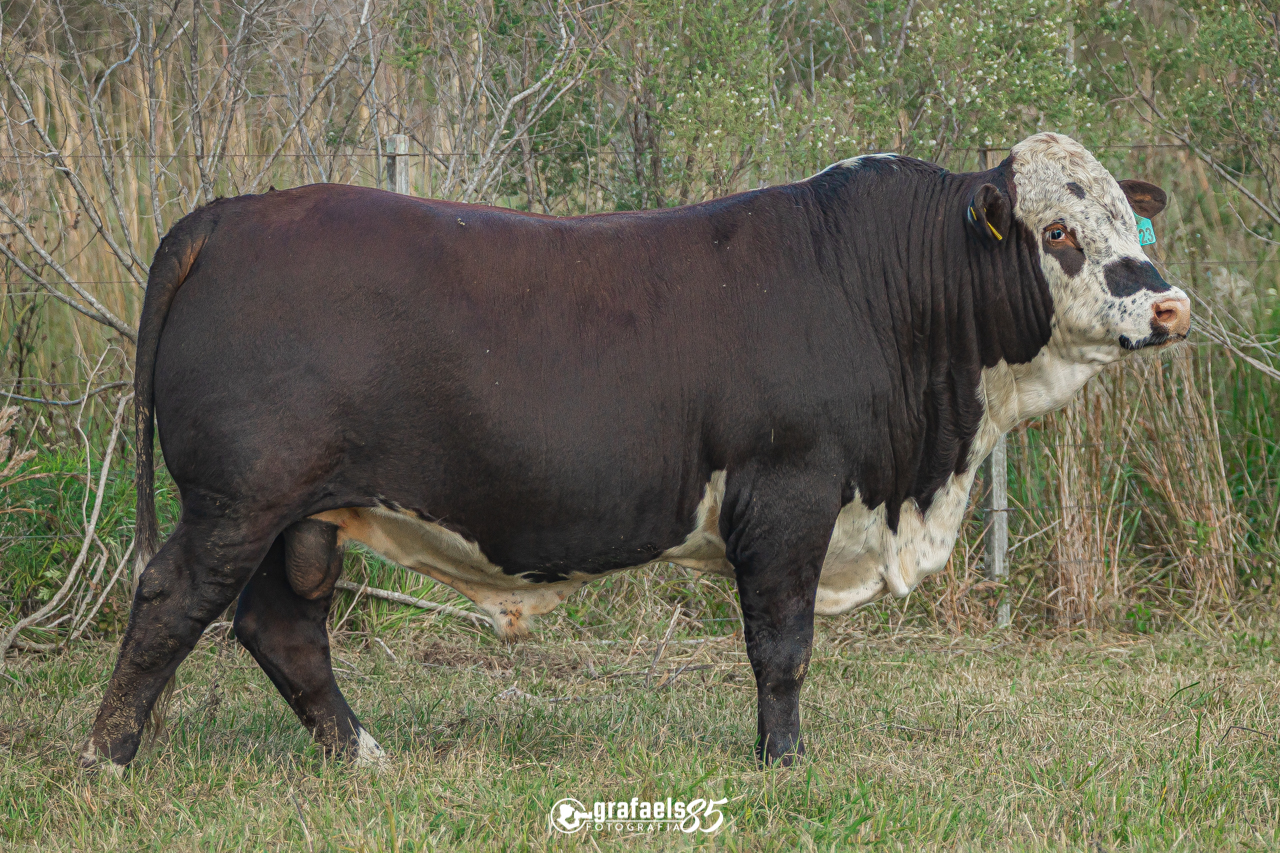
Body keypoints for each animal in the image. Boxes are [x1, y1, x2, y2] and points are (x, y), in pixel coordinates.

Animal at [79, 132, 1188, 773]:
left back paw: (362, 757)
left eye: (1125, 221)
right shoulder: (787, 492)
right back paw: (107, 757)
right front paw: (783, 762)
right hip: (239, 499)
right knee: (170, 599)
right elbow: (780, 646)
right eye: (1058, 232)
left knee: (282, 628)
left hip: (300, 513)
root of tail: (231, 214)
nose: (1169, 302)